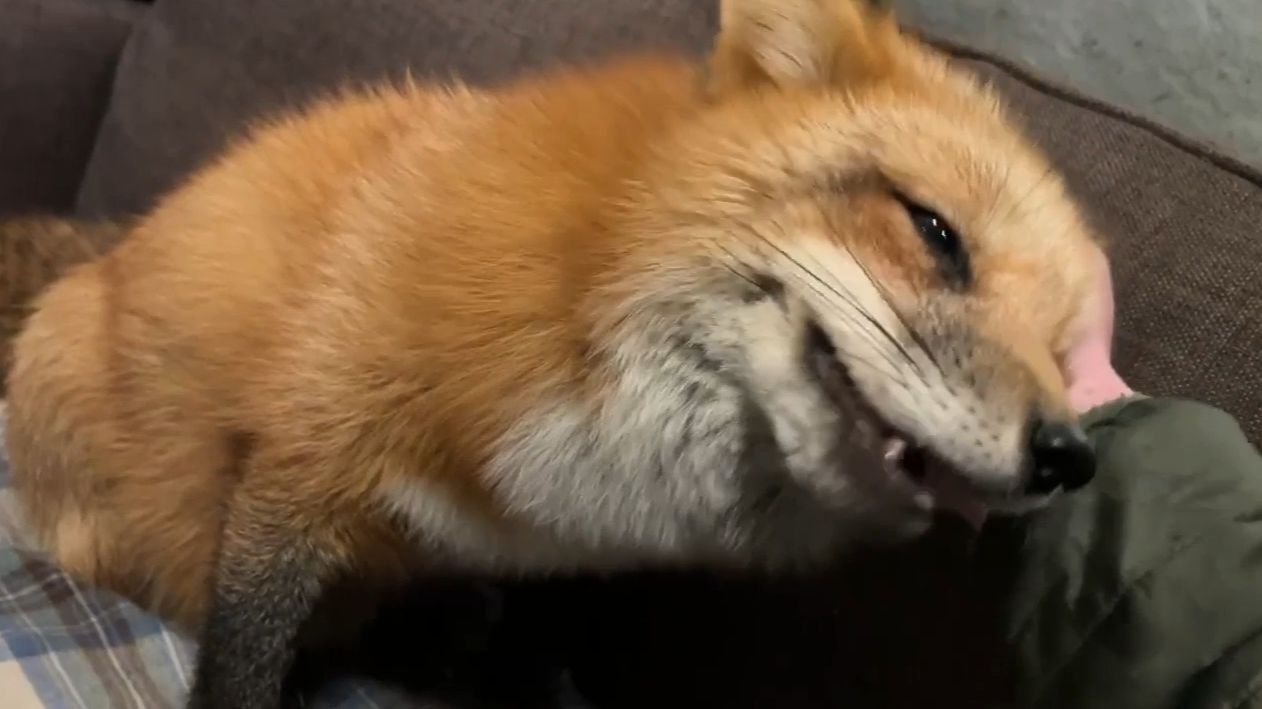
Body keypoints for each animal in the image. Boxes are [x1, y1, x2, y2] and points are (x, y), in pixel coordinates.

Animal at [2, 0, 1102, 707]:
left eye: (1062, 345)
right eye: (935, 232)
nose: (1069, 456)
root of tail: (99, 253)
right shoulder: (298, 460)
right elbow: (241, 661)